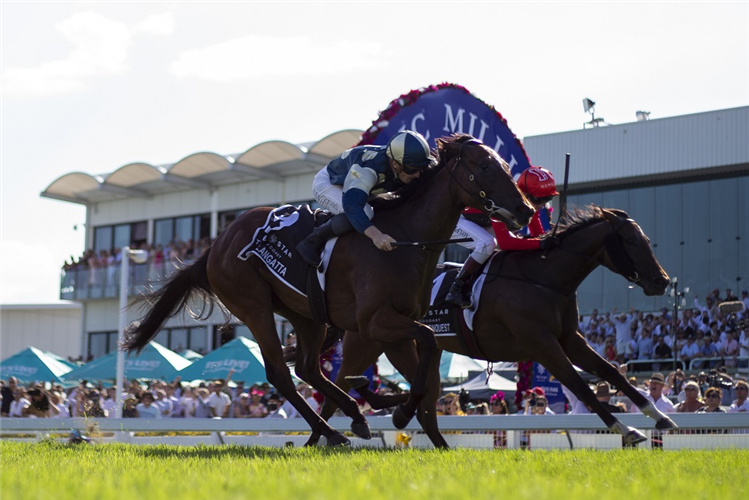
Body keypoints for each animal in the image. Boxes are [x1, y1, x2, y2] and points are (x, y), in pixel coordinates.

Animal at [121, 134, 532, 446]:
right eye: (484, 167)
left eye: (505, 165)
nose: (525, 209)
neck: (406, 239)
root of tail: (216, 243)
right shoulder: (375, 322)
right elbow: (429, 346)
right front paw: (398, 410)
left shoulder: (397, 329)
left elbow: (427, 375)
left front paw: (409, 415)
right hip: (253, 306)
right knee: (280, 374)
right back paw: (333, 431)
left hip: (306, 314)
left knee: (308, 368)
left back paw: (354, 415)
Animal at [318, 205, 676, 448]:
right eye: (630, 241)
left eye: (645, 239)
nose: (662, 281)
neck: (544, 278)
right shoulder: (541, 344)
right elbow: (580, 385)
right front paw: (625, 429)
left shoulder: (569, 339)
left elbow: (611, 372)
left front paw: (658, 416)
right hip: (367, 344)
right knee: (333, 390)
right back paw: (328, 438)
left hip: (419, 350)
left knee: (425, 404)